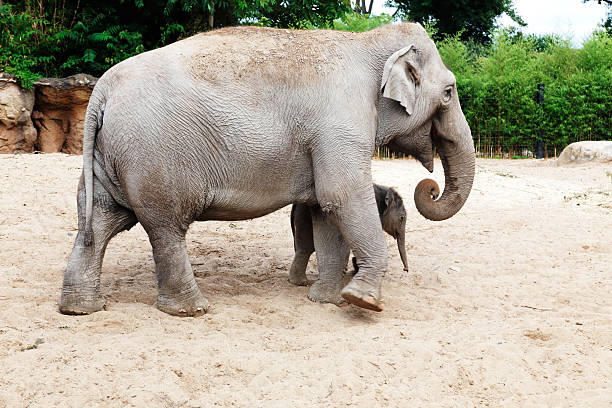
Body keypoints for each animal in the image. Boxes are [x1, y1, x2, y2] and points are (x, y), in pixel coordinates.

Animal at [59, 22, 476, 318]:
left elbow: (325, 211)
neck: (366, 42)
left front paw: (325, 301)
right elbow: (341, 196)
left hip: (109, 156)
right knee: (165, 228)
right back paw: (192, 310)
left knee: (99, 222)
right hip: (154, 156)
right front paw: (364, 302)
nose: (430, 186)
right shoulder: (341, 122)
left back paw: (80, 309)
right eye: (449, 92)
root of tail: (102, 89)